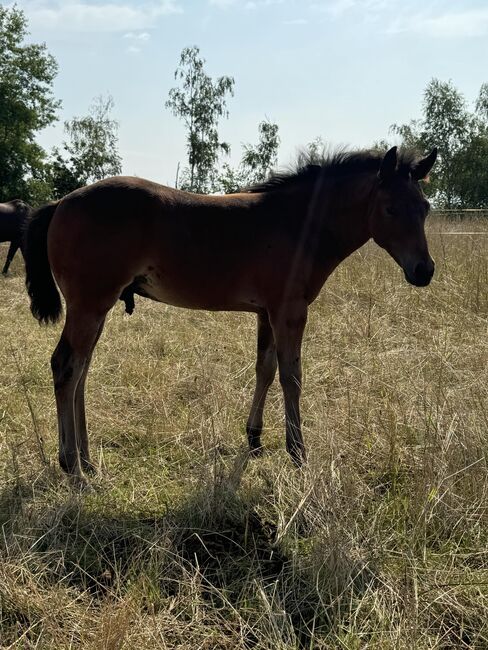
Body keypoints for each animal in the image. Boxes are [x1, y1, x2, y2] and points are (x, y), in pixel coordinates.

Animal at [23, 146, 438, 480]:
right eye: (390, 208)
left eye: (425, 208)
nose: (424, 270)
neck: (299, 223)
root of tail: (60, 203)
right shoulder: (290, 310)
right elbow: (292, 377)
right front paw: (297, 453)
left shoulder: (266, 312)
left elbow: (265, 369)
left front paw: (254, 438)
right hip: (89, 303)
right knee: (66, 366)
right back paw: (71, 466)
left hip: (97, 306)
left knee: (81, 369)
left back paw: (87, 460)